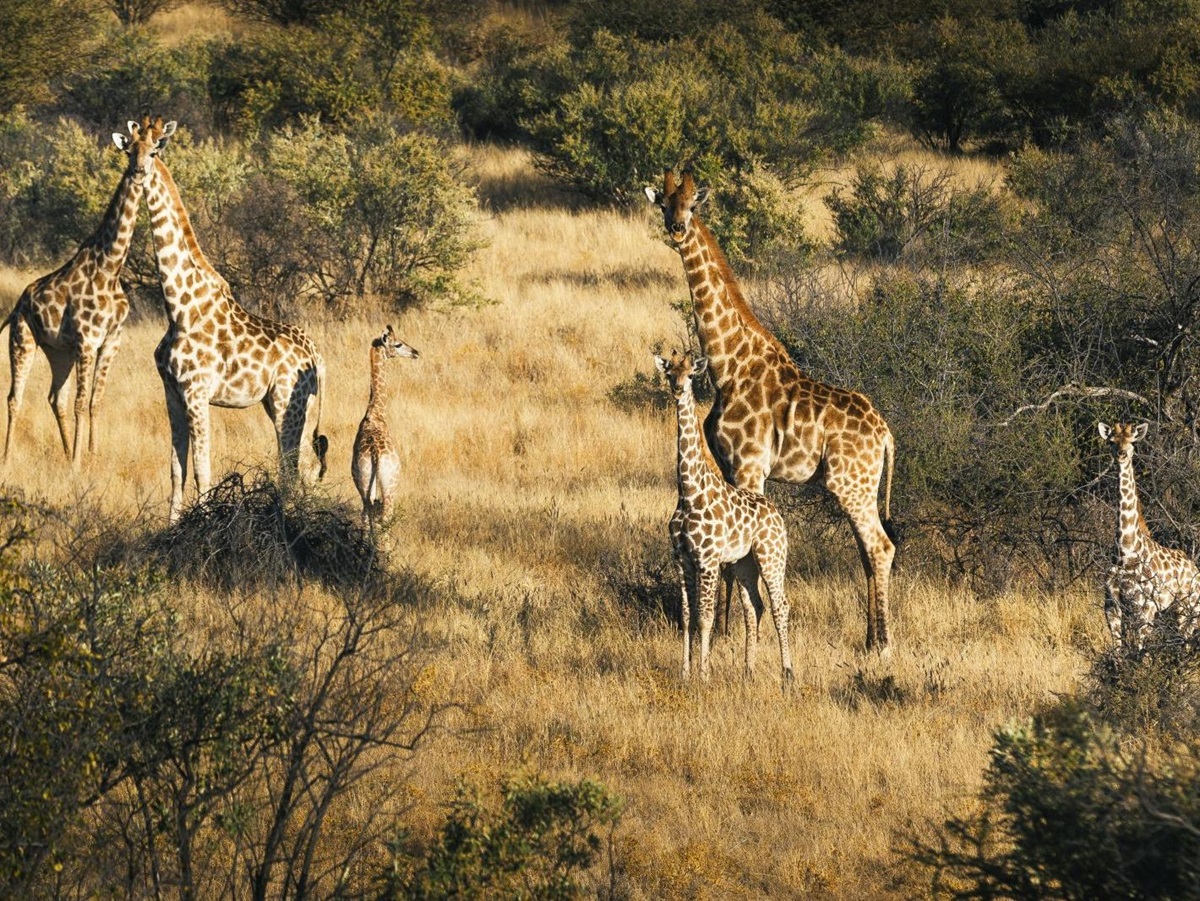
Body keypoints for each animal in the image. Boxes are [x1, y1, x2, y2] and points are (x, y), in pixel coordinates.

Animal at [3, 119, 160, 468]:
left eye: (154, 151)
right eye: (129, 150)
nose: (139, 170)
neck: (111, 267)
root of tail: (18, 305)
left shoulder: (111, 341)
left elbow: (94, 401)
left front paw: (91, 455)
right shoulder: (88, 340)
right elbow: (81, 401)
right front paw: (77, 464)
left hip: (58, 351)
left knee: (54, 397)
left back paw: (63, 452)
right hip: (23, 340)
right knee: (14, 398)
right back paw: (7, 460)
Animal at [139, 117, 328, 522]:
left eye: (156, 148)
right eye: (129, 147)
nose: (138, 170)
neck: (178, 307)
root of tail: (316, 355)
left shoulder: (197, 392)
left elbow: (202, 468)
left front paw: (202, 521)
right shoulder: (171, 391)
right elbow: (176, 468)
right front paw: (172, 526)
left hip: (287, 401)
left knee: (293, 465)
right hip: (293, 405)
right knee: (303, 464)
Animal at [352, 325, 419, 529]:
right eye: (398, 344)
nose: (416, 352)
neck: (375, 412)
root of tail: (375, 455)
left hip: (366, 485)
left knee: (367, 518)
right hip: (390, 486)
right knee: (384, 518)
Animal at [658, 350, 793, 683]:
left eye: (691, 375)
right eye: (669, 373)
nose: (678, 389)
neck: (688, 491)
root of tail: (777, 514)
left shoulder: (707, 560)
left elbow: (705, 617)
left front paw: (704, 675)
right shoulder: (681, 559)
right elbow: (686, 615)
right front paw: (685, 673)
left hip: (771, 556)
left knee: (780, 605)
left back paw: (788, 674)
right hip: (743, 562)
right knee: (755, 606)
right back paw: (748, 671)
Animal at [1098, 421, 1200, 651]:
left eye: (1133, 441)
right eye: (1111, 441)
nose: (1121, 454)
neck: (1125, 550)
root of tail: (1195, 569)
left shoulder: (1144, 607)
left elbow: (1140, 651)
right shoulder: (1111, 606)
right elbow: (1118, 650)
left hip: (1190, 606)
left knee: (1186, 640)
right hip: (1176, 609)